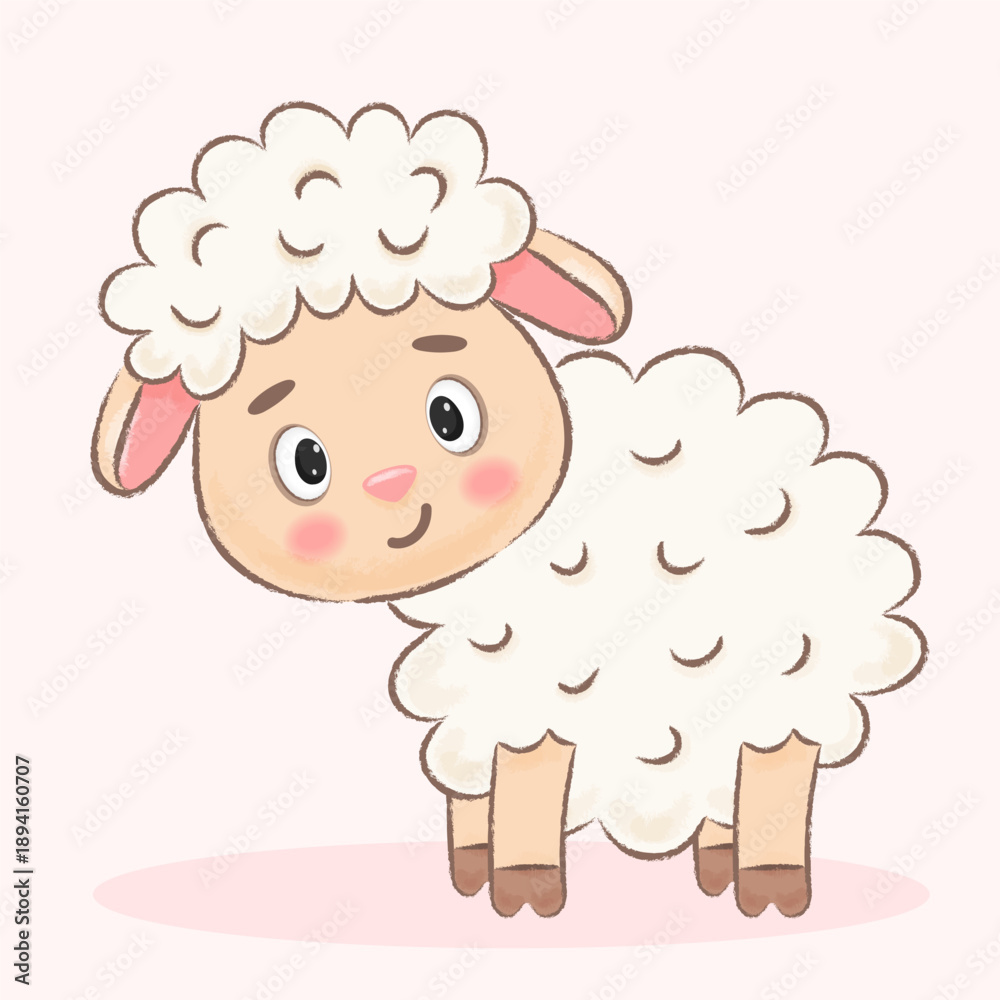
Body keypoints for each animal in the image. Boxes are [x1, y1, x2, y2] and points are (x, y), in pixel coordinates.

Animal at [91, 102, 925, 921]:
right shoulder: (484, 691)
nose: (392, 482)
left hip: (792, 682)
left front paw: (526, 888)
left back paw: (772, 886)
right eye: (306, 461)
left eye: (450, 414)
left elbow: (528, 786)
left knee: (778, 775)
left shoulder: (543, 685)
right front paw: (479, 873)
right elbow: (481, 791)